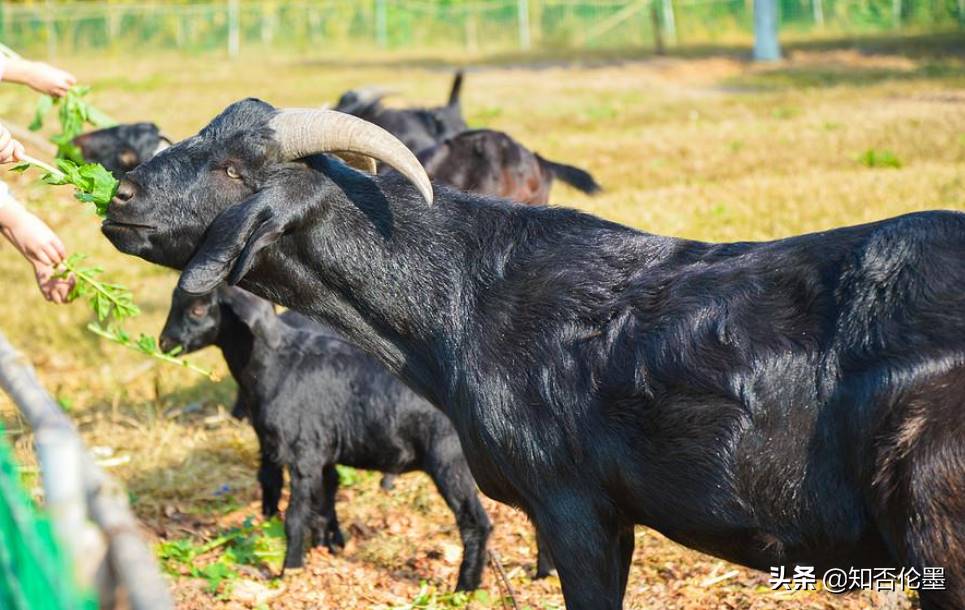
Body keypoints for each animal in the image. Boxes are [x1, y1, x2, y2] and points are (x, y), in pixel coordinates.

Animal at [157, 284, 516, 584]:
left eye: (198, 309)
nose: (164, 343)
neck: (278, 363)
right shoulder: (316, 452)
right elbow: (319, 504)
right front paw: (327, 547)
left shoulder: (304, 455)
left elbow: (296, 516)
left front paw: (290, 569)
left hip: (448, 460)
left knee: (475, 523)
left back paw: (465, 587)